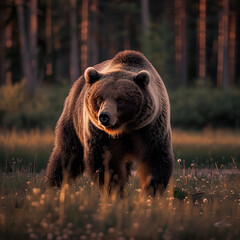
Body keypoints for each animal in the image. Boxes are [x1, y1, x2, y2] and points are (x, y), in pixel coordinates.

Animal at [45, 49, 172, 196]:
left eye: (120, 99)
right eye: (100, 98)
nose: (104, 116)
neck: (123, 128)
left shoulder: (150, 127)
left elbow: (155, 158)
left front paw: (151, 191)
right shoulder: (100, 134)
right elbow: (105, 162)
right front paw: (114, 191)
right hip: (73, 118)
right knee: (67, 155)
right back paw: (53, 185)